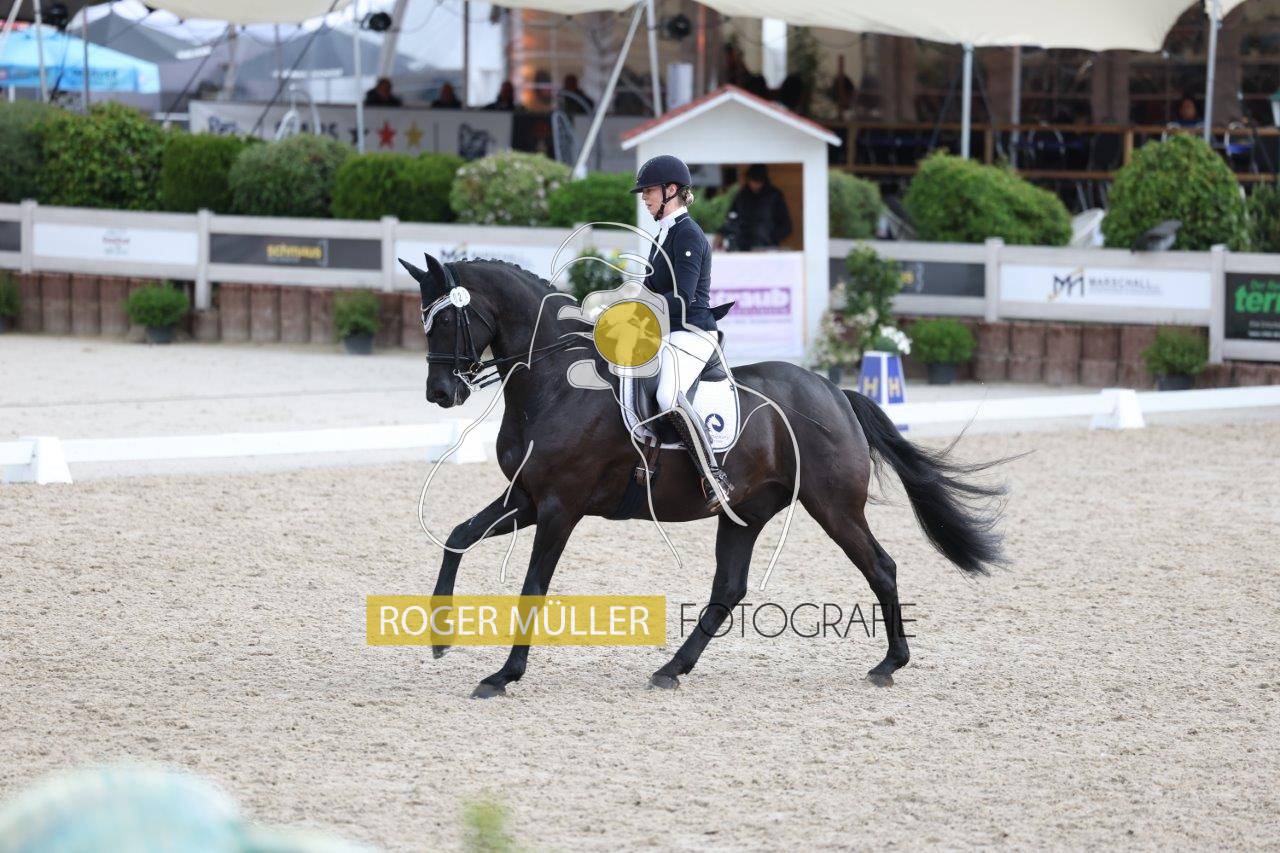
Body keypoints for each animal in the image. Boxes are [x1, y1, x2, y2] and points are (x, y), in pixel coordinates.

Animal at [400, 254, 1009, 698]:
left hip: (834, 507)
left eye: (447, 318)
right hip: (744, 513)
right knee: (728, 589)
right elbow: (457, 537)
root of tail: (835, 392)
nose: (440, 393)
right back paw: (672, 668)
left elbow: (533, 586)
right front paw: (439, 638)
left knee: (880, 567)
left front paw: (504, 675)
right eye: (425, 318)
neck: (555, 382)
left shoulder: (558, 508)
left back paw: (890, 664)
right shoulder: (525, 497)